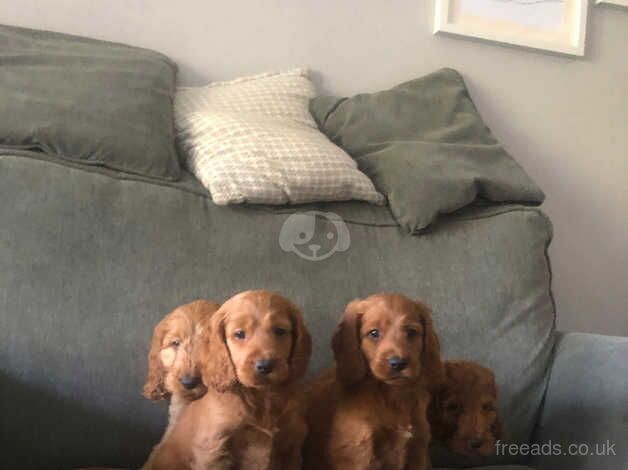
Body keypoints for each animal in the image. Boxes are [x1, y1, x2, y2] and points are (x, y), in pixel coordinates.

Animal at [302, 294, 442, 470]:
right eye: (374, 333)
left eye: (411, 332)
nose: (398, 363)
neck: (392, 395)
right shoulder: (358, 452)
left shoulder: (419, 449)